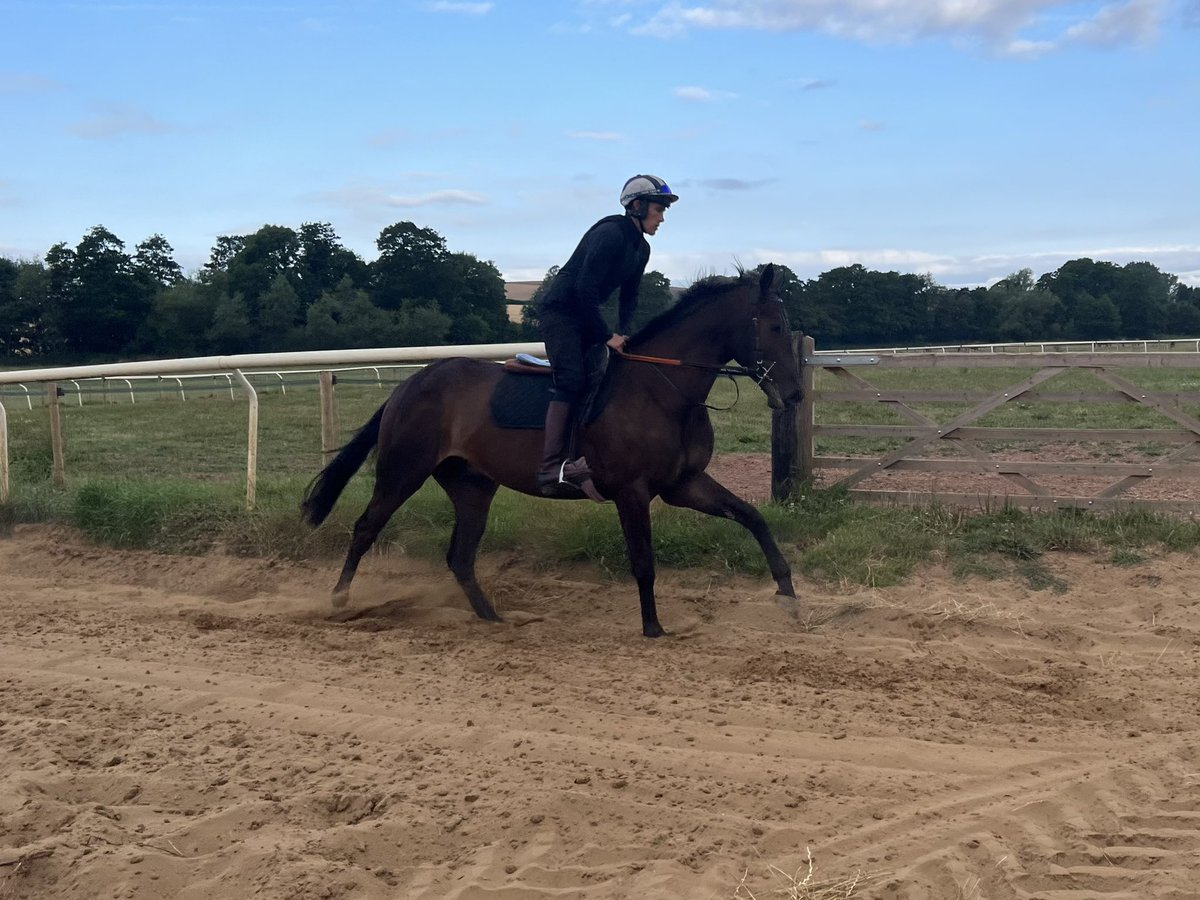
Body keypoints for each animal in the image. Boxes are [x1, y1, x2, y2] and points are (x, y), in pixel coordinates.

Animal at [301, 263, 803, 637]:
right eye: (776, 325)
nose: (796, 393)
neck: (662, 390)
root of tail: (408, 385)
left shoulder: (684, 484)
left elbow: (752, 517)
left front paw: (787, 592)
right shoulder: (632, 491)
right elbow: (643, 561)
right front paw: (653, 628)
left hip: (472, 487)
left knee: (460, 555)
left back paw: (493, 618)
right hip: (402, 471)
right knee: (366, 527)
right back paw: (339, 601)